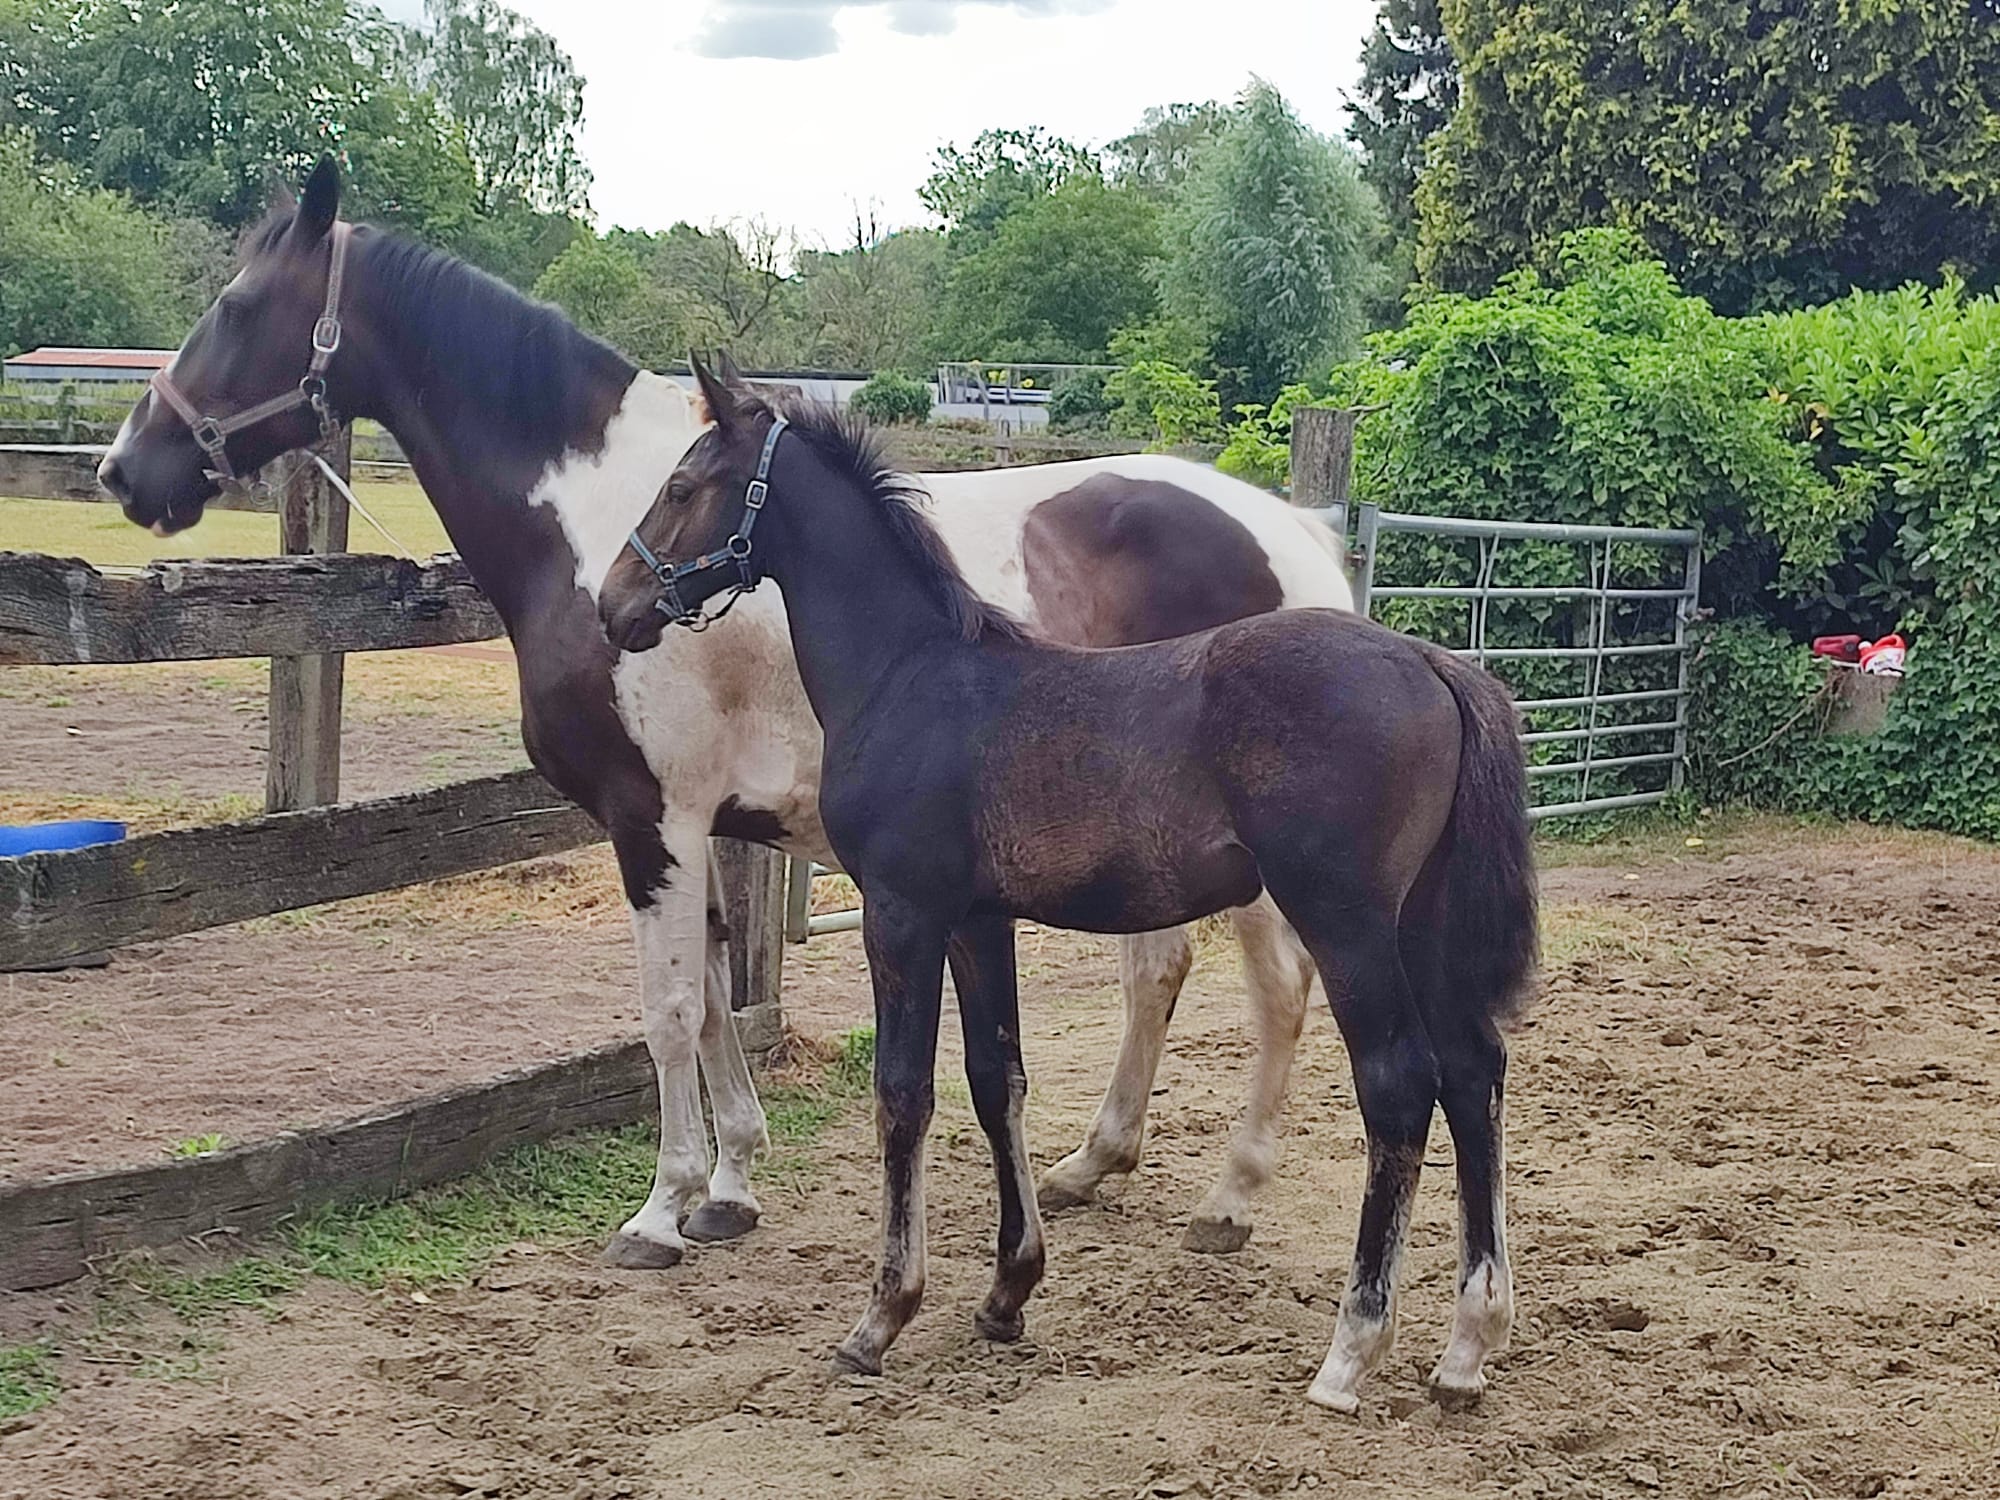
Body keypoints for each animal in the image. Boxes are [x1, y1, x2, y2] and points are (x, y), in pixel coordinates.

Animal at [96, 158, 1357, 1272]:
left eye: (237, 305)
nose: (123, 470)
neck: (592, 525)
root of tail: (1296, 535)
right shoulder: (687, 824)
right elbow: (709, 999)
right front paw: (729, 1188)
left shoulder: (648, 816)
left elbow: (663, 1011)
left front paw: (659, 1212)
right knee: (1157, 975)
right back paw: (1094, 1164)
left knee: (1279, 989)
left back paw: (1227, 1201)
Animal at [599, 362, 1539, 1413]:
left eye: (683, 486)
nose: (614, 604)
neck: (912, 674)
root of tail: (1433, 662)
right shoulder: (978, 921)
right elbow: (994, 1079)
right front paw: (1007, 1294)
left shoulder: (903, 913)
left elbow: (903, 1095)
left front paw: (881, 1317)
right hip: (1423, 927)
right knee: (1473, 1071)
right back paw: (1468, 1345)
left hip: (1350, 925)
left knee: (1400, 1085)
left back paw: (1351, 1350)